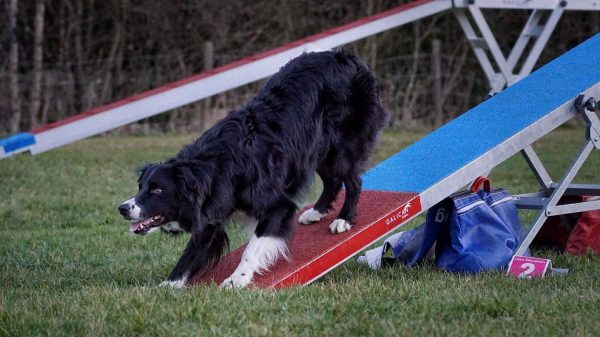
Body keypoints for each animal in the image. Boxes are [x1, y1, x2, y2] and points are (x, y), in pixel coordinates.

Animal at [118, 50, 390, 286]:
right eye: (141, 187)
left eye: (157, 190)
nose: (122, 208)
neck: (211, 170)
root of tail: (346, 57)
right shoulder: (211, 210)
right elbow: (192, 252)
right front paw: (168, 285)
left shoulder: (276, 206)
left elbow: (253, 246)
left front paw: (236, 280)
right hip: (314, 149)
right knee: (332, 180)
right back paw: (316, 212)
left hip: (340, 144)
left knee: (353, 180)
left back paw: (343, 219)